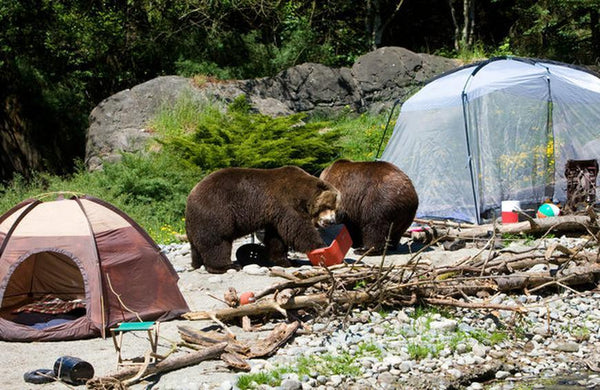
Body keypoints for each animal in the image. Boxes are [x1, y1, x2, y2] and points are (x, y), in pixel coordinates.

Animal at [185, 166, 340, 272]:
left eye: (335, 207)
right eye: (328, 206)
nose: (331, 221)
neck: (302, 195)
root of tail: (190, 195)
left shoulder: (275, 215)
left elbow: (276, 238)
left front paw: (286, 260)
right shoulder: (286, 203)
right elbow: (299, 229)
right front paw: (321, 246)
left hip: (197, 222)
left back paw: (197, 263)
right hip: (216, 211)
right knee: (217, 241)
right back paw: (227, 266)